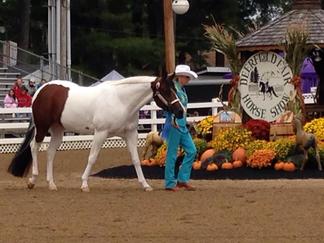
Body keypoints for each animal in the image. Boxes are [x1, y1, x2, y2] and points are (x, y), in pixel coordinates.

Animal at [7, 73, 184, 191]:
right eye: (166, 91)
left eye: (175, 89)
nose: (180, 111)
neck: (121, 100)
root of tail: (42, 89)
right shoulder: (101, 133)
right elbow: (92, 158)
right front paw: (84, 184)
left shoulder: (130, 134)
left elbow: (135, 160)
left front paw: (145, 184)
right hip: (42, 128)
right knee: (34, 147)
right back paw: (32, 180)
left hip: (58, 130)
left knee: (50, 152)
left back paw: (51, 184)